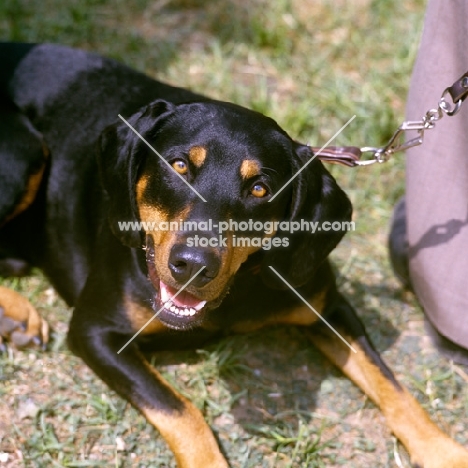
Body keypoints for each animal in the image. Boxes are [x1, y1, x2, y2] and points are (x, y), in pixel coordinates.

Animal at [0, 42, 466, 466]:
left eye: (260, 188)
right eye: (178, 165)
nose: (192, 266)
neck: (231, 295)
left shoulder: (328, 306)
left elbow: (393, 386)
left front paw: (444, 452)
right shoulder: (93, 330)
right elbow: (182, 411)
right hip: (25, 152)